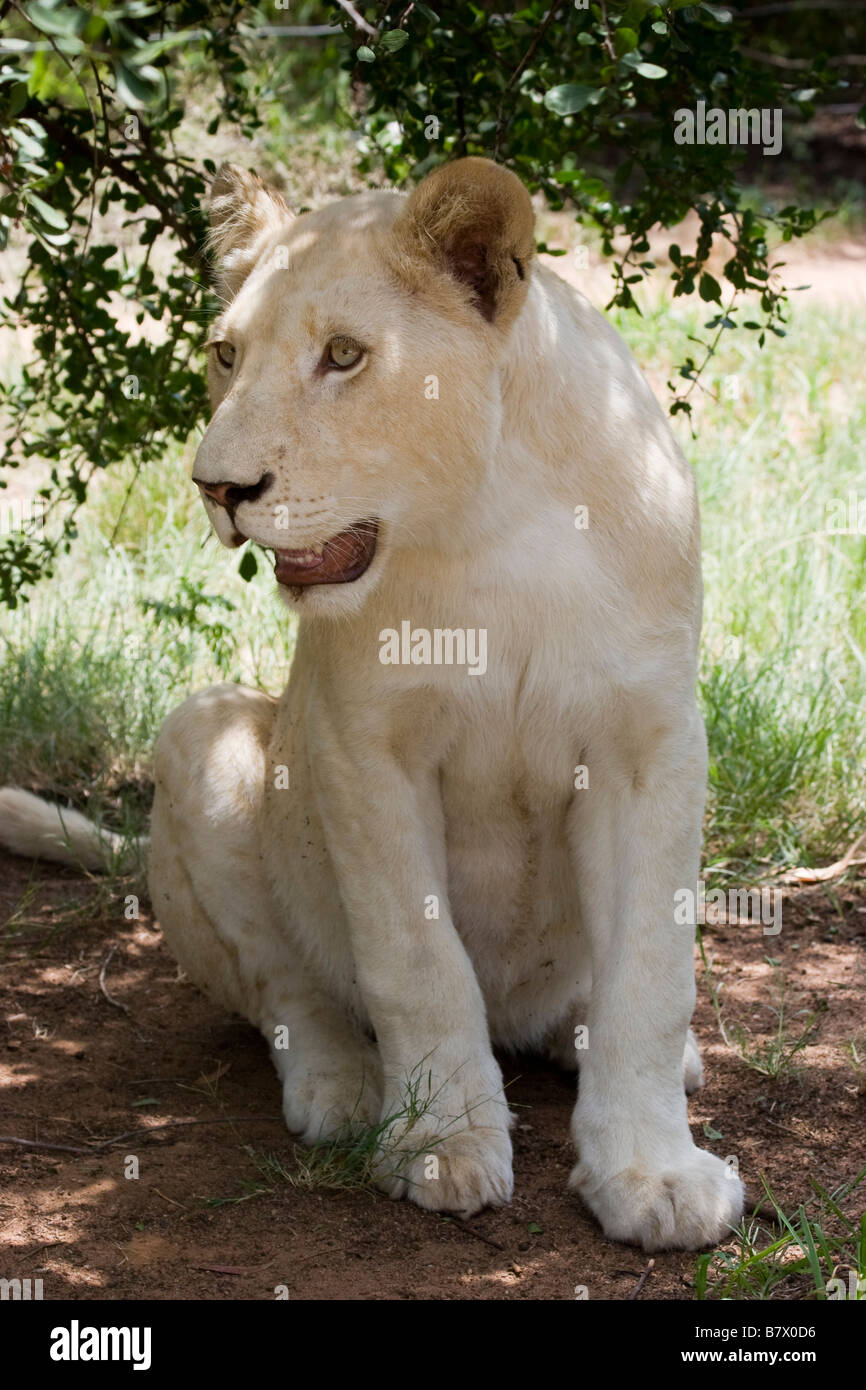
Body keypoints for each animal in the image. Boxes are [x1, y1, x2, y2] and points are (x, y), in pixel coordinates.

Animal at [0, 157, 744, 1250]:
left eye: (344, 356)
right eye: (226, 354)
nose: (218, 488)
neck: (486, 527)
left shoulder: (649, 744)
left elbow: (652, 971)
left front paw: (651, 1171)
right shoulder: (365, 744)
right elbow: (415, 958)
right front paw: (440, 1139)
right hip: (202, 735)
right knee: (288, 991)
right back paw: (347, 1087)